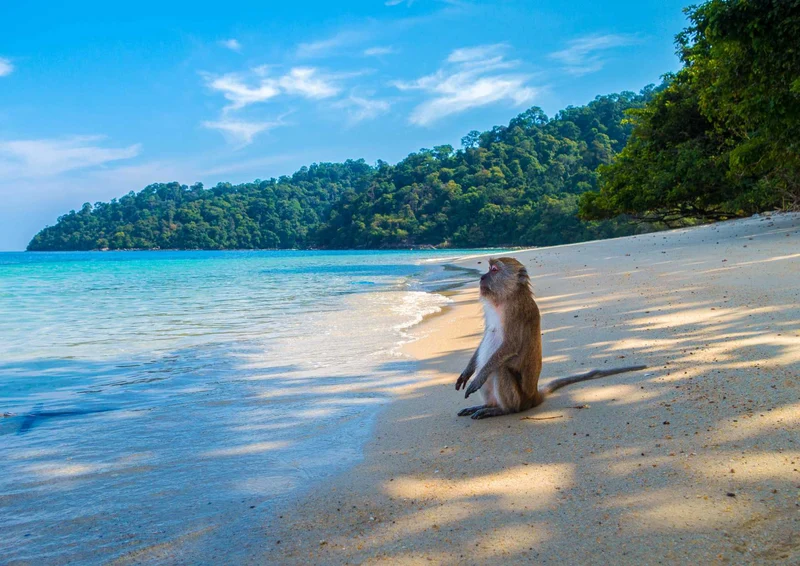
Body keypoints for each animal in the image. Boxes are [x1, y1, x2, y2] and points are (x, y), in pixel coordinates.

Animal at [454, 257, 646, 419]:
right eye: (489, 269)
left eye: (494, 270)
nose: (481, 277)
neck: (507, 296)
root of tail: (533, 396)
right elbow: (486, 336)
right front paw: (467, 372)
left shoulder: (516, 311)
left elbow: (511, 345)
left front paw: (478, 378)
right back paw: (486, 405)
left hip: (519, 399)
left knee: (499, 369)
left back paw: (501, 409)